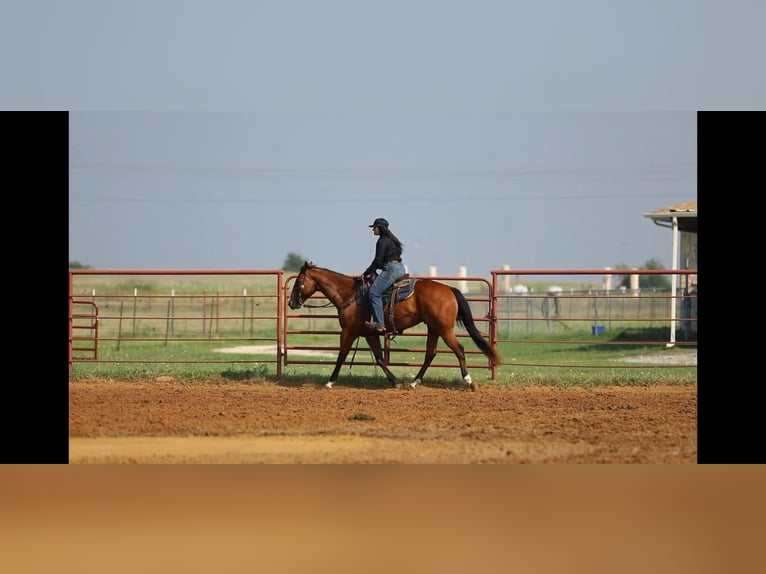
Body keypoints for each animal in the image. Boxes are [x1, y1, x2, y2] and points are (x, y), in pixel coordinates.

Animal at [287, 261, 500, 391]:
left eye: (298, 281)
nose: (291, 303)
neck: (350, 295)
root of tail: (449, 289)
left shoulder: (348, 331)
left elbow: (342, 355)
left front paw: (330, 381)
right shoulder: (369, 334)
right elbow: (380, 359)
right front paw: (394, 381)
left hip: (444, 330)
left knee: (459, 350)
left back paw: (469, 382)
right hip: (434, 329)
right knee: (430, 354)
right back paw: (413, 382)